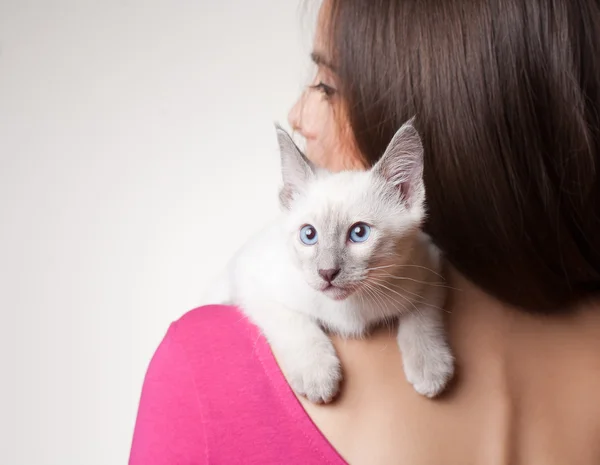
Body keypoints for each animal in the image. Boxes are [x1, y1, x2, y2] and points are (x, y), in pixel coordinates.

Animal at [209, 118, 452, 402]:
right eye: (308, 235)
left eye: (359, 233)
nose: (327, 272)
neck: (349, 310)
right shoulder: (249, 275)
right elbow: (292, 321)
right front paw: (316, 373)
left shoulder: (429, 262)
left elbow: (422, 311)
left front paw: (430, 367)